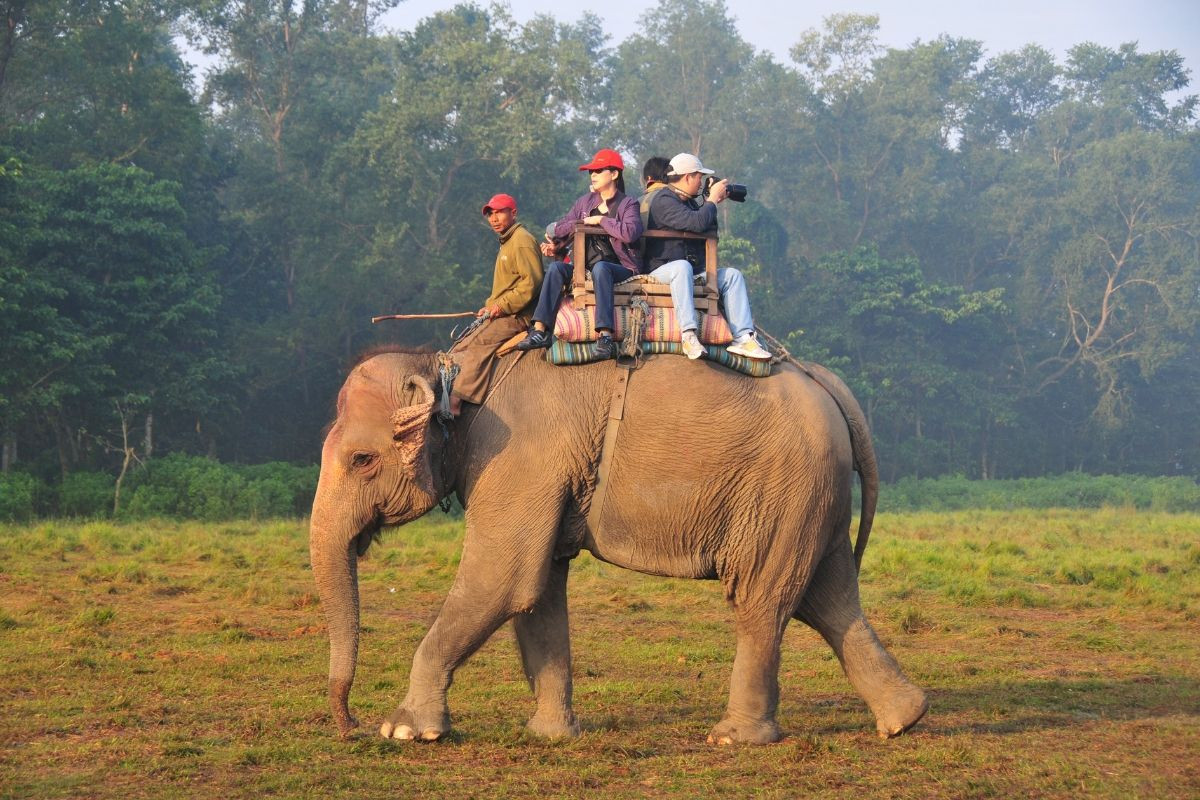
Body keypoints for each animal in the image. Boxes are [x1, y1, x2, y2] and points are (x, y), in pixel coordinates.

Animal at [312, 347, 926, 748]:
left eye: (362, 460)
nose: (349, 727)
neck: (451, 366)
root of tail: (823, 379)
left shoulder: (519, 454)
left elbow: (503, 579)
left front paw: (405, 731)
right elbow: (538, 590)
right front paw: (550, 736)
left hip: (782, 489)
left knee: (763, 600)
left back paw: (734, 739)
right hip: (811, 498)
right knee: (830, 599)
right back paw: (904, 719)